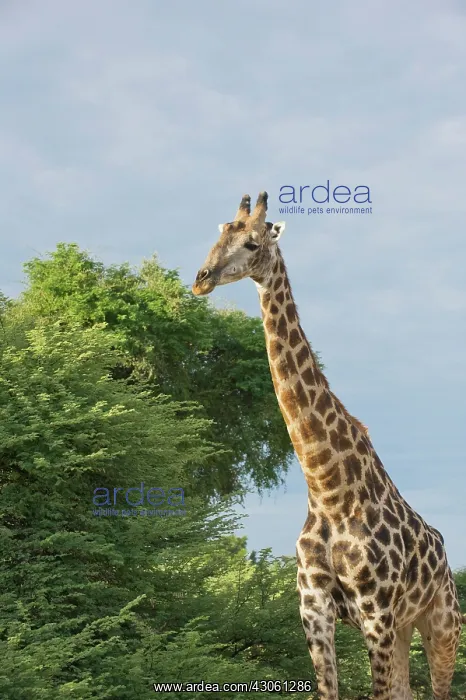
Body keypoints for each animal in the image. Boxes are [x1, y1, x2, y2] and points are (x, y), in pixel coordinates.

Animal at [191, 192, 464, 700]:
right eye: (218, 236)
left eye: (253, 242)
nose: (201, 279)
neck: (328, 489)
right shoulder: (314, 609)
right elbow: (330, 690)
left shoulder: (376, 613)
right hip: (404, 629)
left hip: (441, 626)